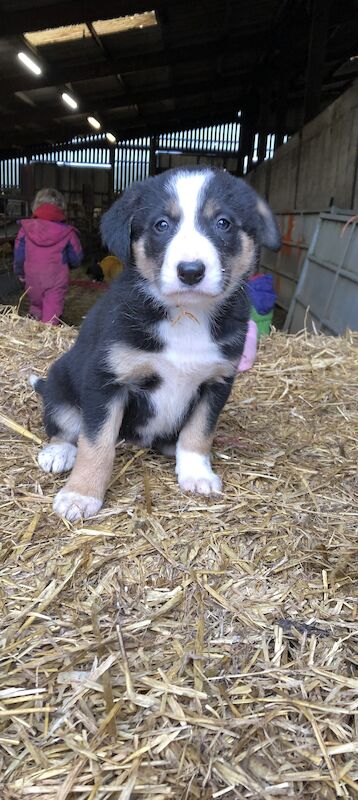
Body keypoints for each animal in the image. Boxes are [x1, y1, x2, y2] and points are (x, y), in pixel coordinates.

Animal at [30, 166, 282, 520]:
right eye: (161, 225)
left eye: (223, 223)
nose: (190, 271)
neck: (186, 316)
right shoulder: (106, 380)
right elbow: (95, 443)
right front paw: (81, 494)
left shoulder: (217, 381)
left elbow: (199, 432)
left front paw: (197, 473)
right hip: (59, 383)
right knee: (64, 425)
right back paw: (57, 453)